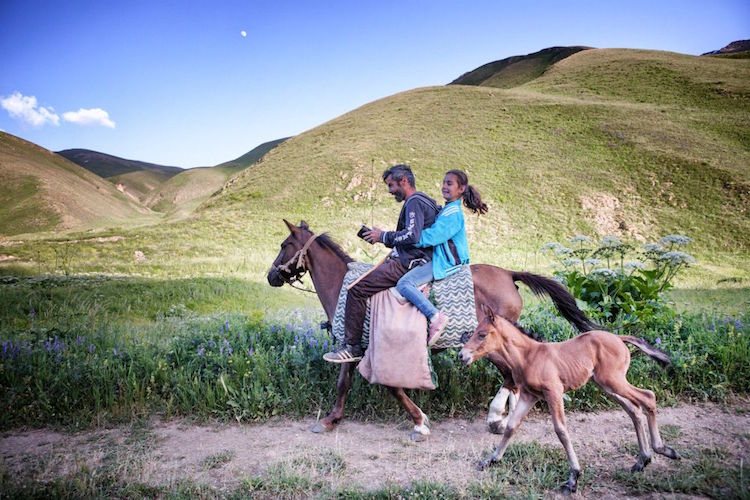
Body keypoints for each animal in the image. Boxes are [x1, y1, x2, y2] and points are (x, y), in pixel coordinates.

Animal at [268, 221, 596, 440]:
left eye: (284, 245)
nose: (271, 276)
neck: (347, 288)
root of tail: (508, 273)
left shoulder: (382, 350)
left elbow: (392, 387)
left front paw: (419, 422)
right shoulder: (353, 347)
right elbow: (342, 384)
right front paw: (330, 420)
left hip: (490, 345)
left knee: (511, 375)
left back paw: (495, 417)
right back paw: (506, 415)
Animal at [458, 306, 680, 494]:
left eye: (482, 334)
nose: (461, 355)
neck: (529, 356)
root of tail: (619, 337)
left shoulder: (554, 392)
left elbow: (561, 430)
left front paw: (573, 477)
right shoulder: (530, 395)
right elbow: (512, 426)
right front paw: (491, 460)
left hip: (614, 381)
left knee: (648, 397)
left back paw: (663, 450)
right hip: (607, 385)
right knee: (634, 409)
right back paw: (642, 460)